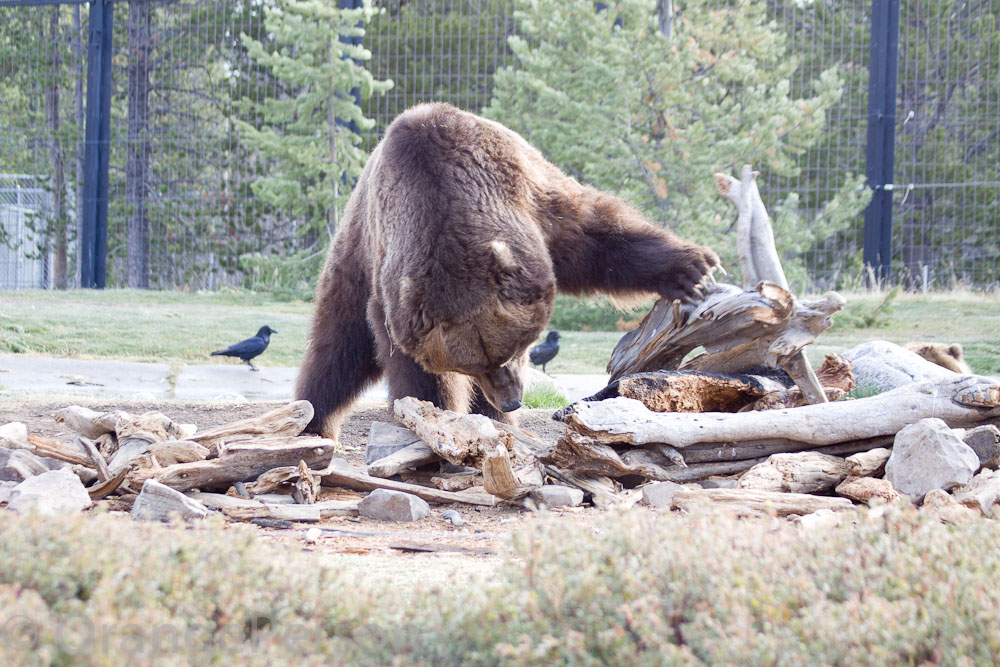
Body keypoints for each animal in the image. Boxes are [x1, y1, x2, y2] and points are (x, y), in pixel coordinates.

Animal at [296, 102, 719, 438]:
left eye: (517, 347)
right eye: (470, 364)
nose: (512, 401)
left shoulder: (527, 197)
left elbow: (593, 234)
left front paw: (690, 269)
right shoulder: (398, 297)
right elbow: (417, 374)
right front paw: (437, 420)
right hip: (354, 262)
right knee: (337, 351)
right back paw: (313, 419)